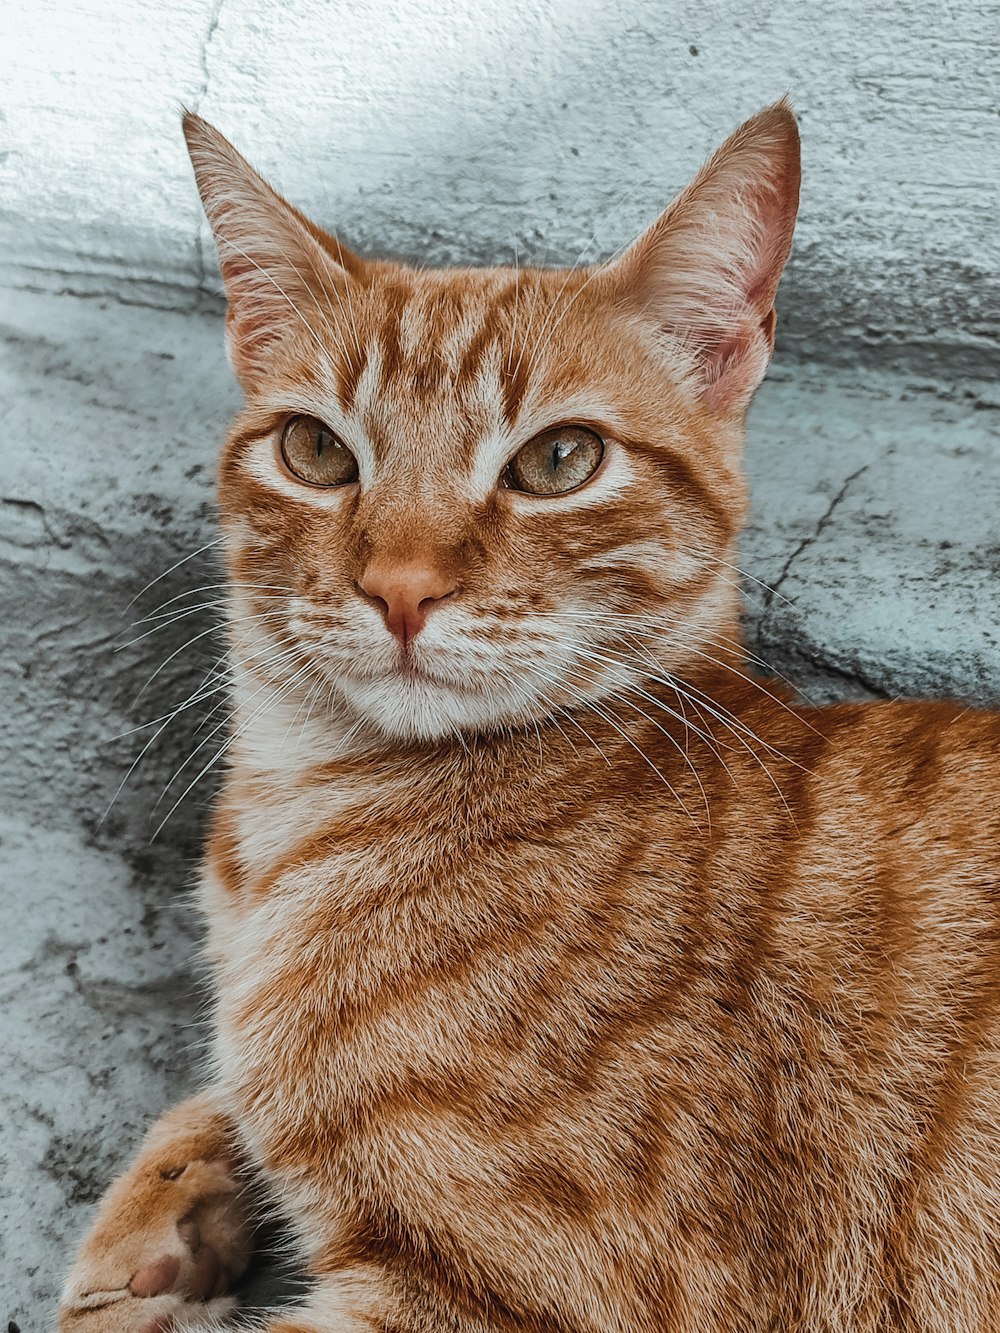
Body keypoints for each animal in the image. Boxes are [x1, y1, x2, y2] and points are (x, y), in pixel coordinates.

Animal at [58, 103, 1000, 1333]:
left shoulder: (520, 1299)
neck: (296, 808)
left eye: (559, 459)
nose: (401, 588)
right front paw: (165, 1219)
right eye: (317, 449)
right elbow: (214, 1089)